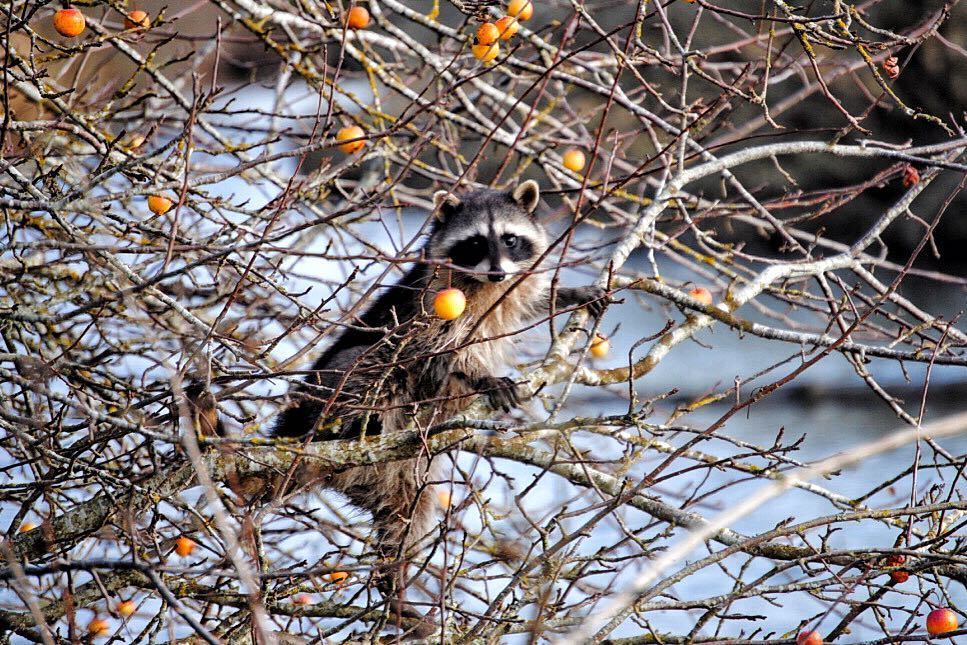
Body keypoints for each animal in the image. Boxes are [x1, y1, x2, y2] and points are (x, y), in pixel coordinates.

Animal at [272, 180, 605, 632]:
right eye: (475, 242)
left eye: (510, 239)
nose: (497, 271)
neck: (485, 285)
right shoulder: (431, 301)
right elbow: (441, 349)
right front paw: (482, 375)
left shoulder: (510, 288)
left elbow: (529, 302)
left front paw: (567, 292)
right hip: (336, 387)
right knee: (370, 365)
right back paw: (357, 424)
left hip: (401, 479)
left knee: (406, 520)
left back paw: (392, 580)